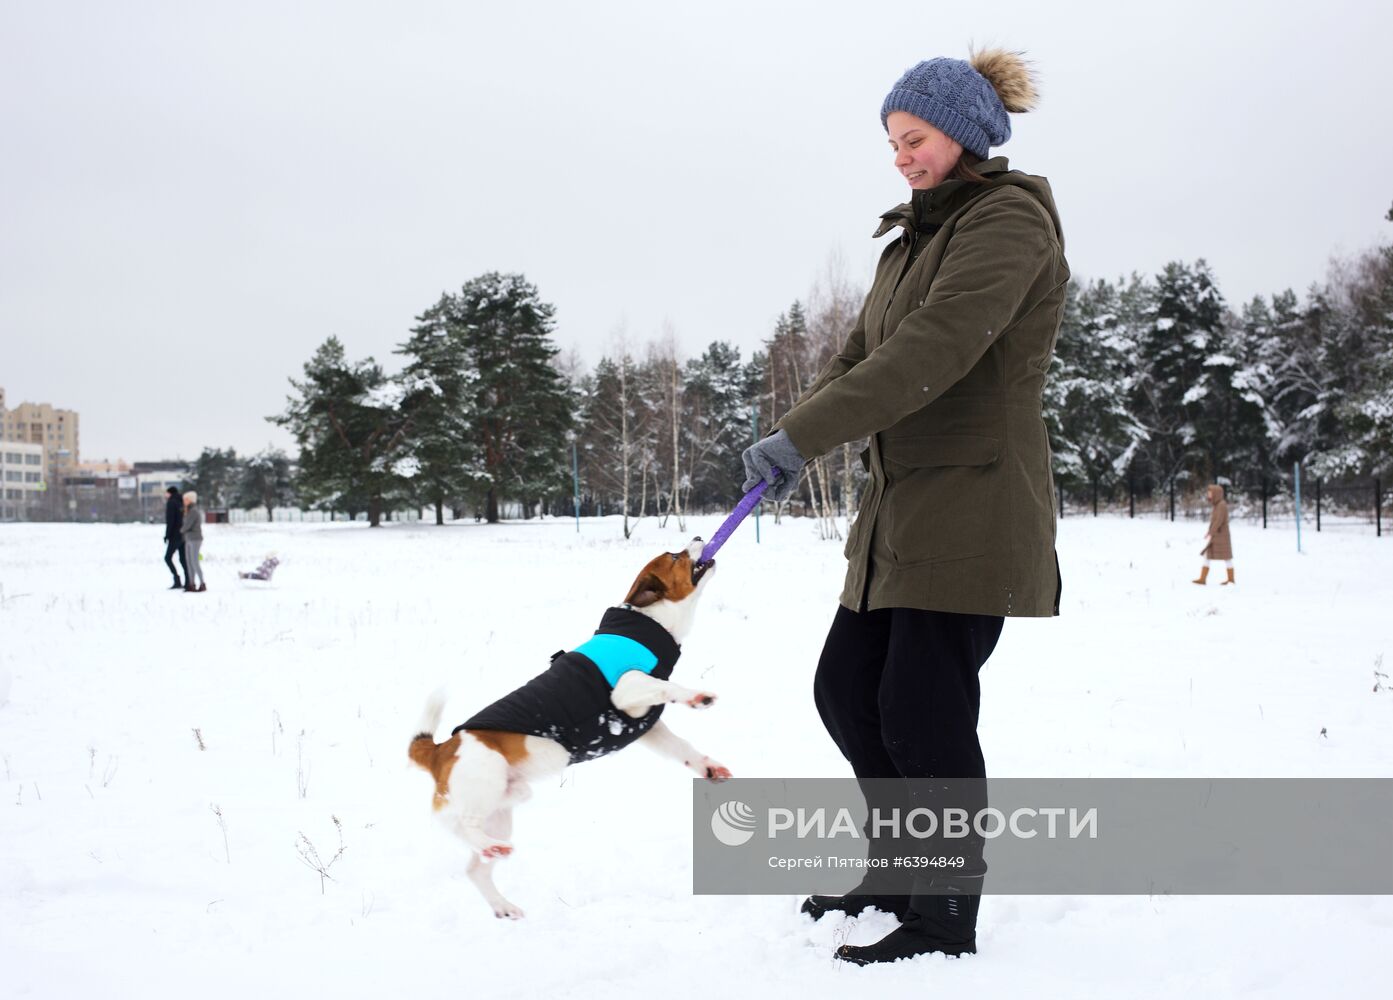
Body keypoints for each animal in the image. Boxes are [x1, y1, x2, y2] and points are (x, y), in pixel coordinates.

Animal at [406, 537, 729, 919]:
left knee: (475, 867)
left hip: (505, 805)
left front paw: (709, 767)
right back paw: (485, 846)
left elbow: (682, 749)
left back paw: (502, 898)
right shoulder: (626, 691)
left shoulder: (646, 727)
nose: (698, 538)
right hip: (486, 777)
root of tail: (440, 749)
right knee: (460, 823)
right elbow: (667, 686)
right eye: (675, 557)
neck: (648, 624)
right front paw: (697, 696)